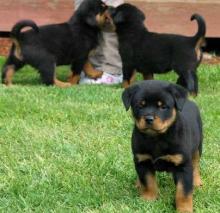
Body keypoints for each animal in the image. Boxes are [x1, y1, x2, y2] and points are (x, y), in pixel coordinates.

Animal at [122, 80, 203, 212]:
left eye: (163, 107)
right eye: (140, 105)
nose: (149, 119)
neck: (157, 138)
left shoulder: (183, 165)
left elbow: (183, 192)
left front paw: (184, 209)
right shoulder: (143, 160)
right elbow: (148, 182)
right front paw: (148, 200)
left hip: (198, 147)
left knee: (196, 164)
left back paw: (196, 181)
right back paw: (138, 183)